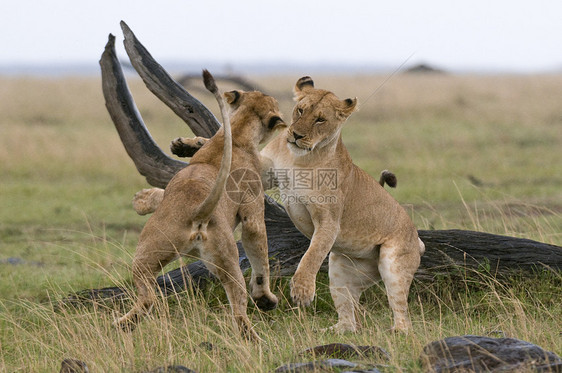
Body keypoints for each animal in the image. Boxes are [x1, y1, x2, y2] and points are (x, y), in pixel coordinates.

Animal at [117, 68, 284, 338]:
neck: (237, 132)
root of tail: (197, 214)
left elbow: (159, 194)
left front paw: (139, 199)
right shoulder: (254, 202)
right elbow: (259, 250)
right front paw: (265, 298)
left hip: (146, 252)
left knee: (148, 296)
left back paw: (123, 324)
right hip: (226, 260)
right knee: (239, 308)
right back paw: (254, 338)